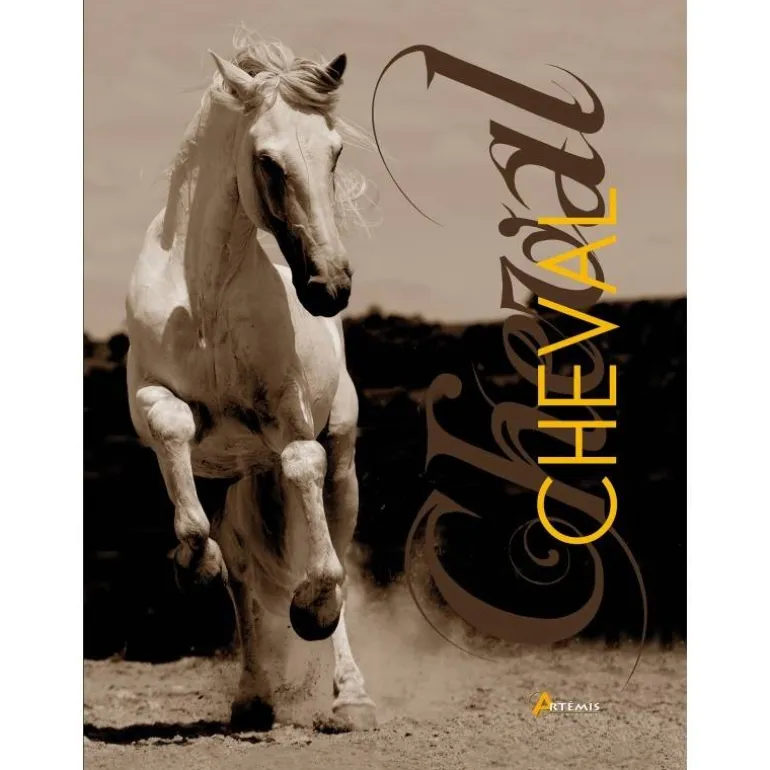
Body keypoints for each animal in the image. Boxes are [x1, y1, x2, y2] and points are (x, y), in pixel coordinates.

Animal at [124, 36, 376, 732]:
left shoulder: (287, 421)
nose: (329, 286)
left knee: (337, 546)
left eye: (335, 152)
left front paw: (312, 607)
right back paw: (253, 699)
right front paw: (193, 563)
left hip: (342, 458)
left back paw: (351, 696)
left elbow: (301, 467)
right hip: (235, 482)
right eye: (268, 160)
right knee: (241, 572)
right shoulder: (149, 400)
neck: (206, 298)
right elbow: (173, 425)